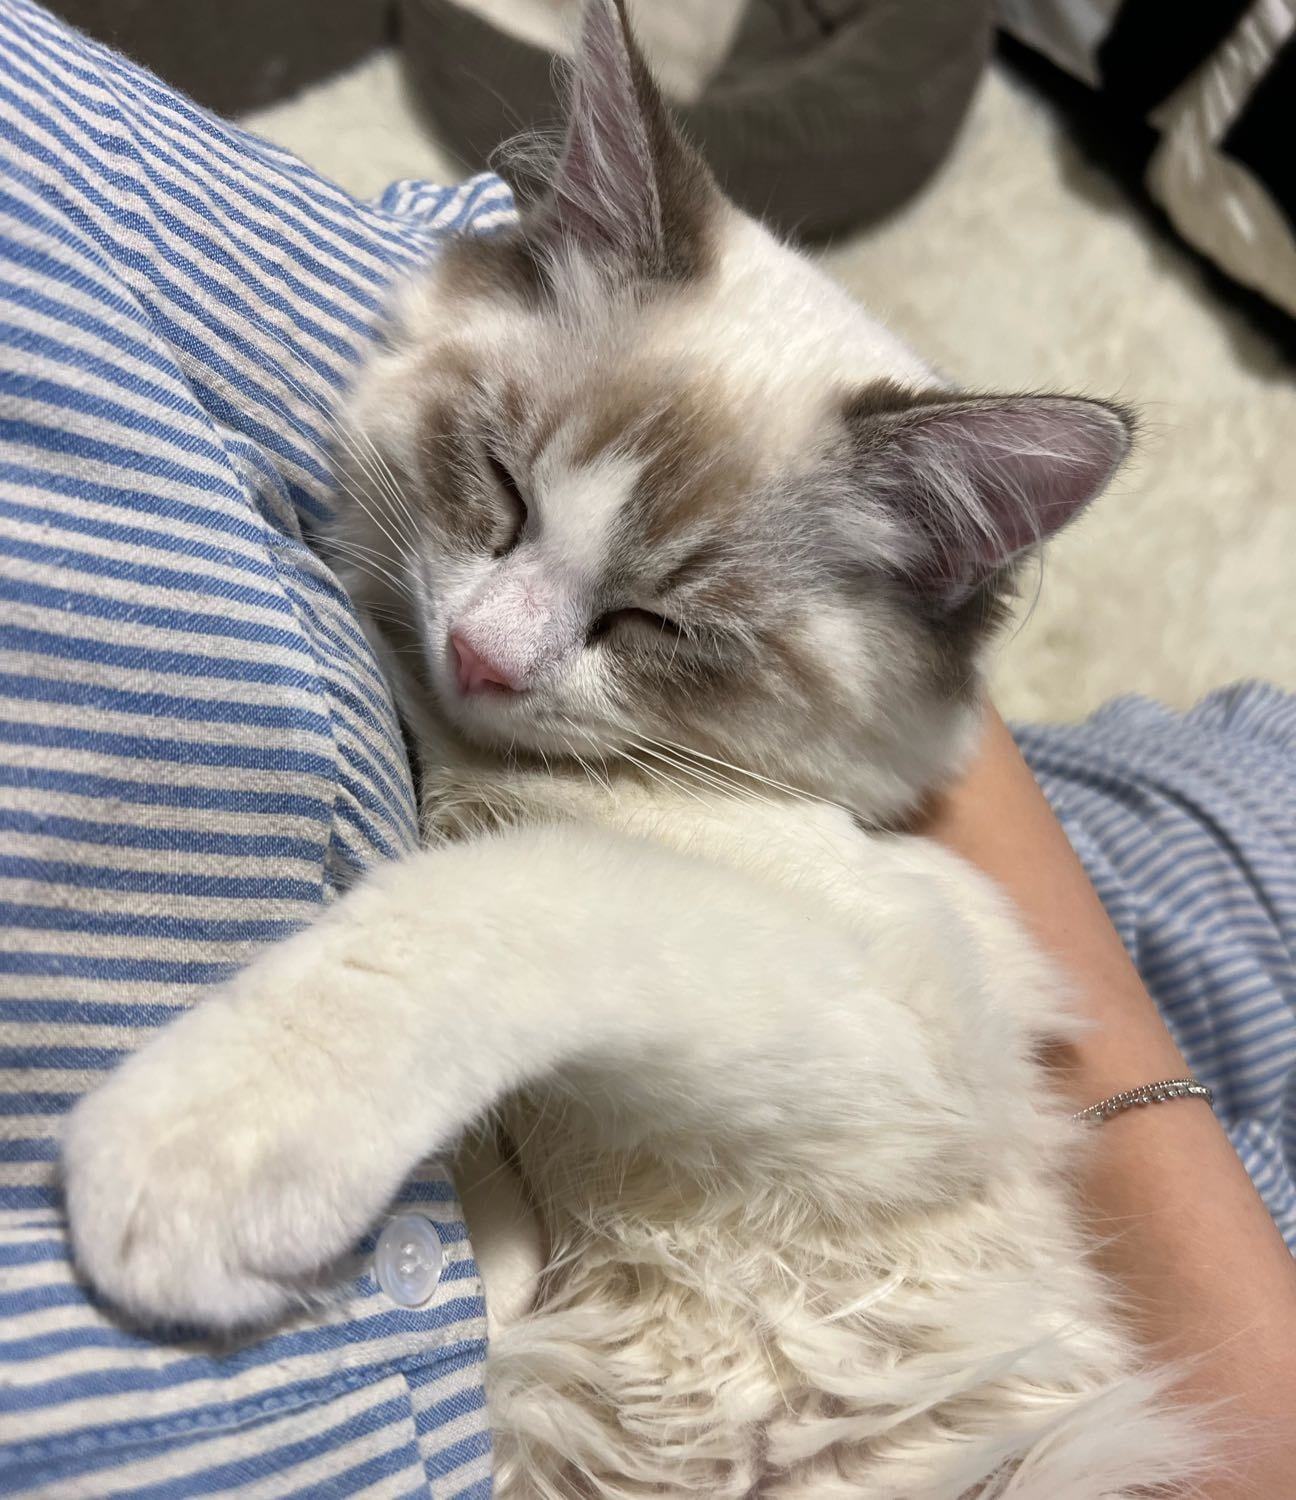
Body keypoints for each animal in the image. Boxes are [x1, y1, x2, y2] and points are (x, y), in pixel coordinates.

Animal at [64, 3, 1214, 1495]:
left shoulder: (884, 1029)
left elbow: (493, 904)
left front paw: (190, 1160)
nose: (484, 657)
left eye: (656, 622)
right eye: (499, 491)